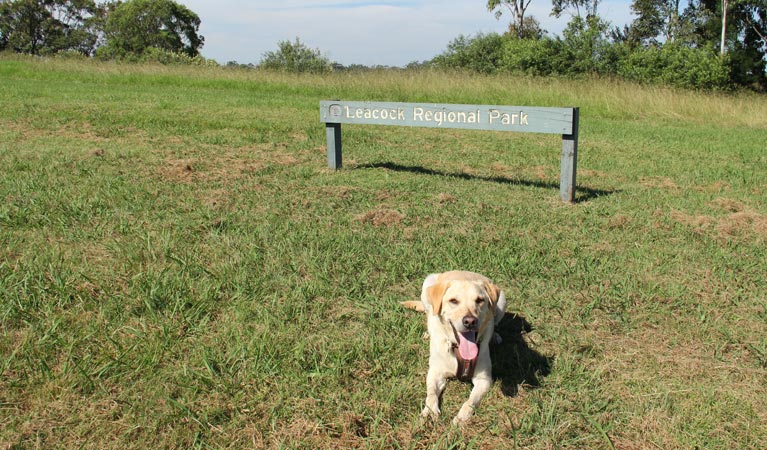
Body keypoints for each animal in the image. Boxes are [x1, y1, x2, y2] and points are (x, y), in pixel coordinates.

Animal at [402, 270, 504, 426]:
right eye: (453, 301)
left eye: (480, 300)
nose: (470, 321)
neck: (458, 350)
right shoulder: (435, 373)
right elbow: (431, 394)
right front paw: (429, 411)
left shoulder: (484, 380)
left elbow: (470, 401)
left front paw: (462, 417)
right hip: (427, 284)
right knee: (429, 312)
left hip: (502, 300)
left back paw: (495, 336)